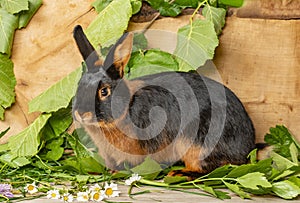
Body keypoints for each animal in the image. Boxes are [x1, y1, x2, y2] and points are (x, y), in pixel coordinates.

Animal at [72, 25, 255, 174]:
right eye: (79, 86)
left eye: (104, 91)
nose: (80, 113)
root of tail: (247, 147)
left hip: (196, 141)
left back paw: (179, 173)